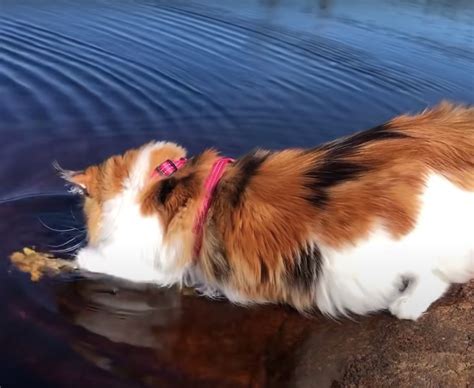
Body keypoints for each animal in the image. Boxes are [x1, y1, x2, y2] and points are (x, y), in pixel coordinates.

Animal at [59, 101, 474, 320]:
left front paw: (79, 256)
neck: (161, 183)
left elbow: (104, 262)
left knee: (435, 276)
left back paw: (404, 307)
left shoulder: (155, 262)